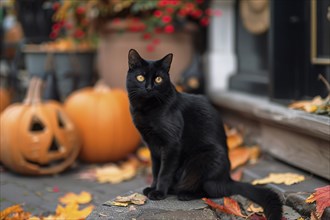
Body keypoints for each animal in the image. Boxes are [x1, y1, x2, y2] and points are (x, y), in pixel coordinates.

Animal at [125, 49, 282, 219]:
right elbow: (155, 170)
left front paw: (159, 192)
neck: (146, 109)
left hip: (203, 161)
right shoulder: (153, 146)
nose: (149, 87)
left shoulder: (171, 145)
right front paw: (152, 188)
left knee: (211, 191)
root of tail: (227, 179)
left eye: (158, 79)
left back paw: (185, 194)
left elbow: (164, 172)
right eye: (140, 77)